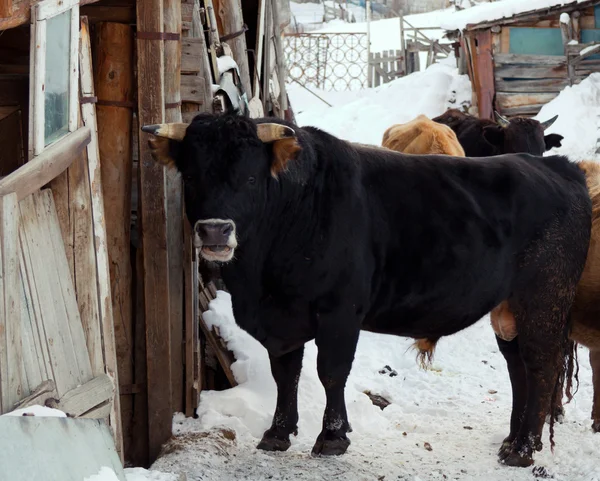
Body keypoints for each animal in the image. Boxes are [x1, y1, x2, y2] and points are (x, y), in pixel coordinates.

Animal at [143, 112, 592, 464]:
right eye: (191, 176)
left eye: (251, 177)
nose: (215, 230)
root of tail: (558, 166)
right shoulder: (282, 318)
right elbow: (285, 373)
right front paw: (278, 432)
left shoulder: (340, 310)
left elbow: (331, 371)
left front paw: (332, 436)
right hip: (508, 310)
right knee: (519, 369)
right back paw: (512, 442)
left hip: (544, 299)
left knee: (541, 366)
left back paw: (525, 449)